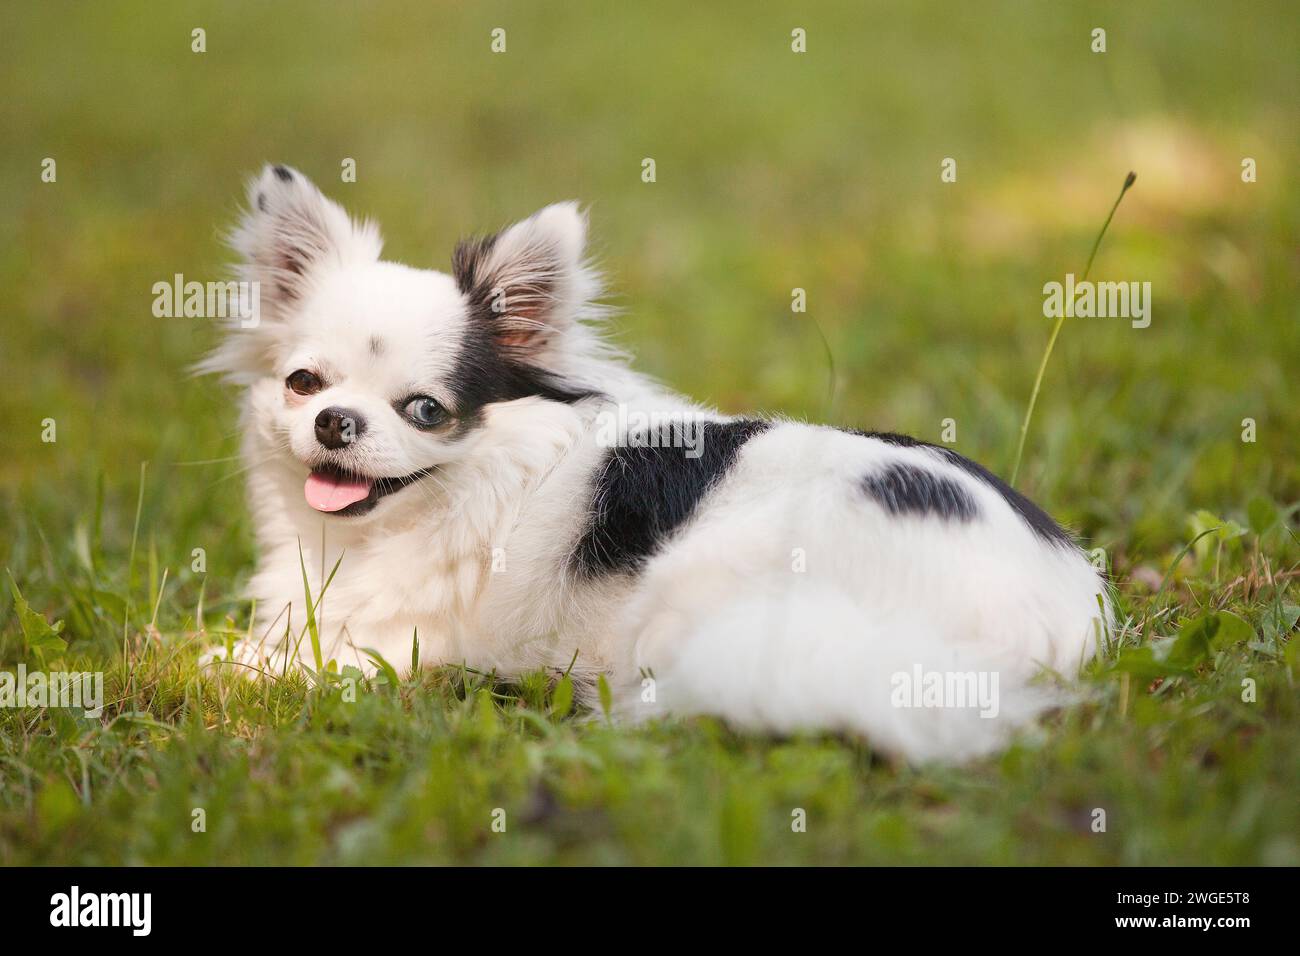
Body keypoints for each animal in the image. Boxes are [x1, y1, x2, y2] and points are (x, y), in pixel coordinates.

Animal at [200, 166, 1107, 764]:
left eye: (425, 411)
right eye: (304, 383)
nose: (335, 421)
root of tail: (1059, 611)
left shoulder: (393, 644)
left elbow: (280, 663)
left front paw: (207, 666)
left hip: (703, 593)